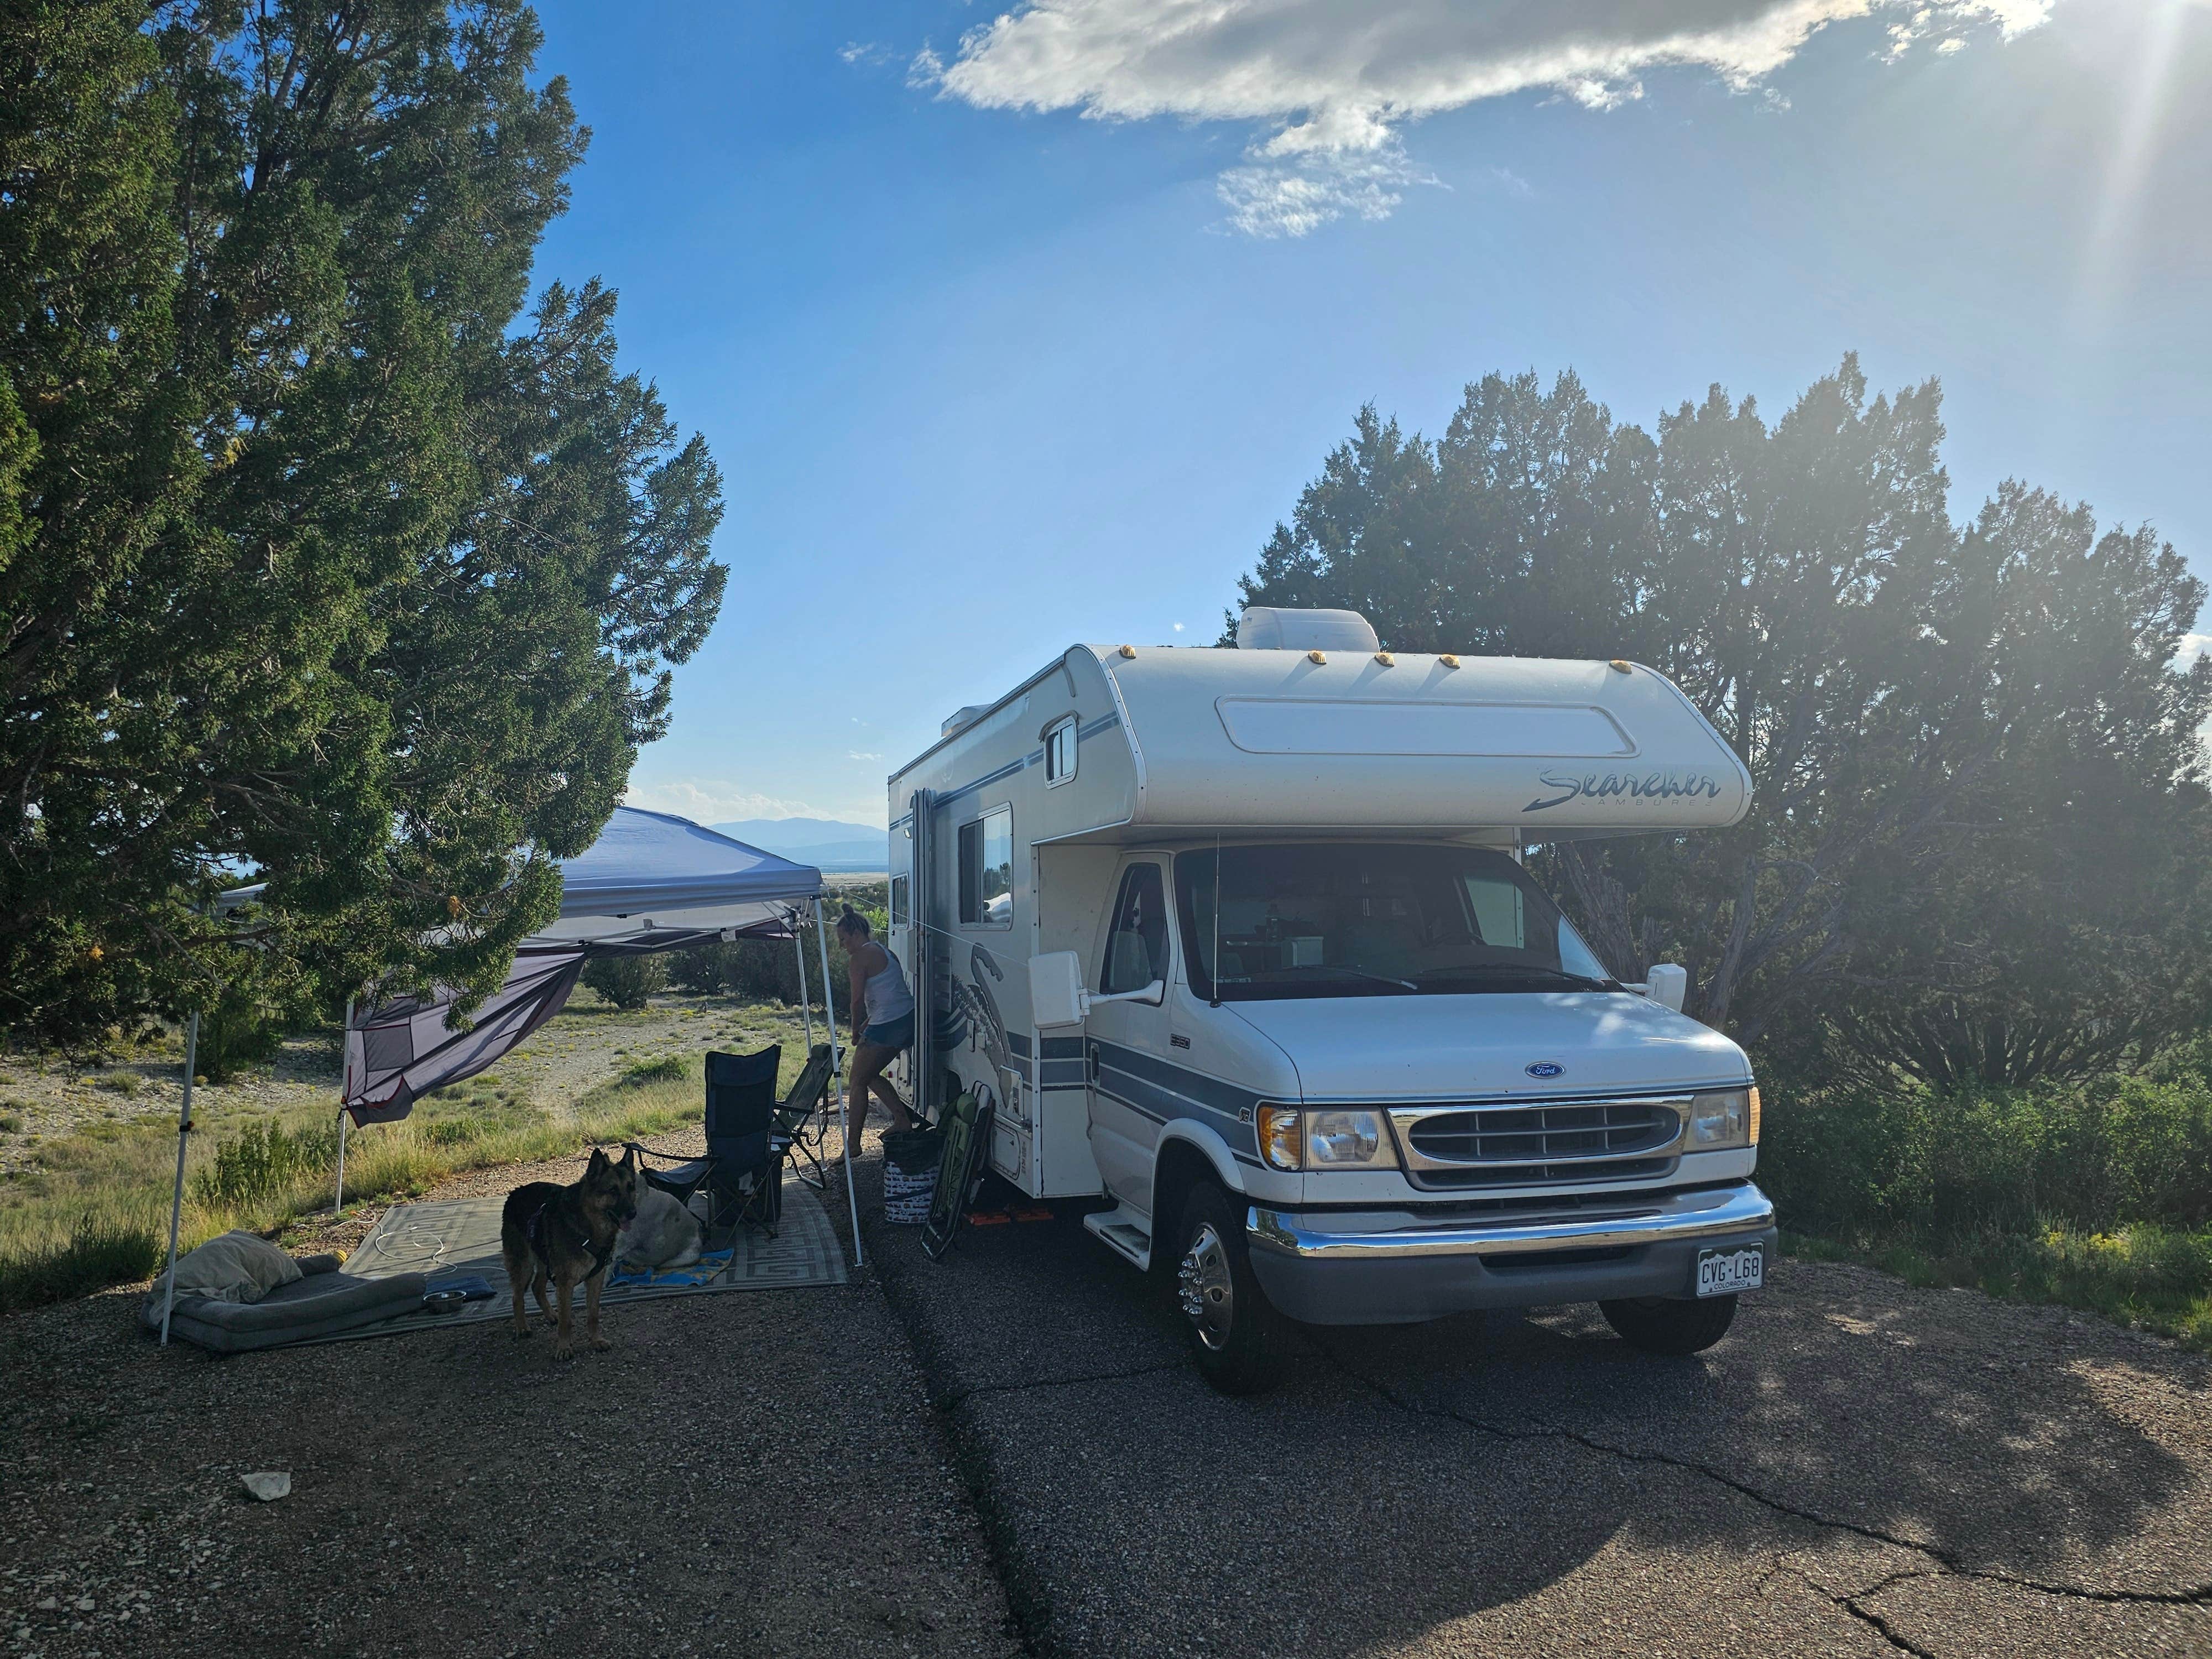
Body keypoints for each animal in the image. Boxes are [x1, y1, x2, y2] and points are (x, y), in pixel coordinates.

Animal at [504, 1150, 641, 1354]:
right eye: (613, 1190)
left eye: (630, 1187)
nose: (633, 1213)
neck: (589, 1225)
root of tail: (515, 1192)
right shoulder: (565, 1283)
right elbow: (566, 1320)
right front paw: (564, 1348)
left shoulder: (595, 1279)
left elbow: (593, 1315)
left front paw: (595, 1340)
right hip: (524, 1266)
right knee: (517, 1296)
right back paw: (522, 1327)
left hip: (545, 1261)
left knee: (537, 1287)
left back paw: (551, 1315)